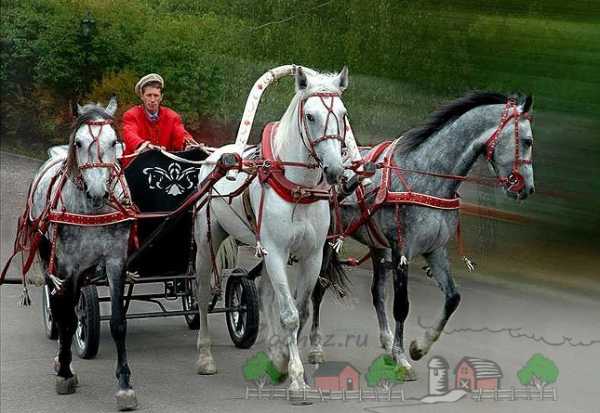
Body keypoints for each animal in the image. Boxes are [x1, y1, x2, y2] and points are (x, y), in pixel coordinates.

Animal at [195, 66, 350, 388]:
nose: (334, 170)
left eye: (343, 114)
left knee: (265, 293)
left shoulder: (312, 255)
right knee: (201, 294)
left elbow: (300, 310)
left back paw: (273, 353)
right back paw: (205, 356)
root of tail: (216, 155)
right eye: (310, 116)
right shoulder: (277, 251)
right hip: (207, 242)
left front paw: (283, 361)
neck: (298, 189)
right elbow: (289, 315)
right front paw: (296, 377)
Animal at [310, 91, 536, 378]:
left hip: (377, 247)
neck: (426, 177)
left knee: (377, 293)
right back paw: (316, 347)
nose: (527, 188)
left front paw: (418, 347)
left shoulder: (434, 250)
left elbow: (453, 298)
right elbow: (402, 306)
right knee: (319, 288)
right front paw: (402, 359)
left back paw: (386, 342)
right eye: (527, 141)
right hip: (328, 242)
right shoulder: (402, 251)